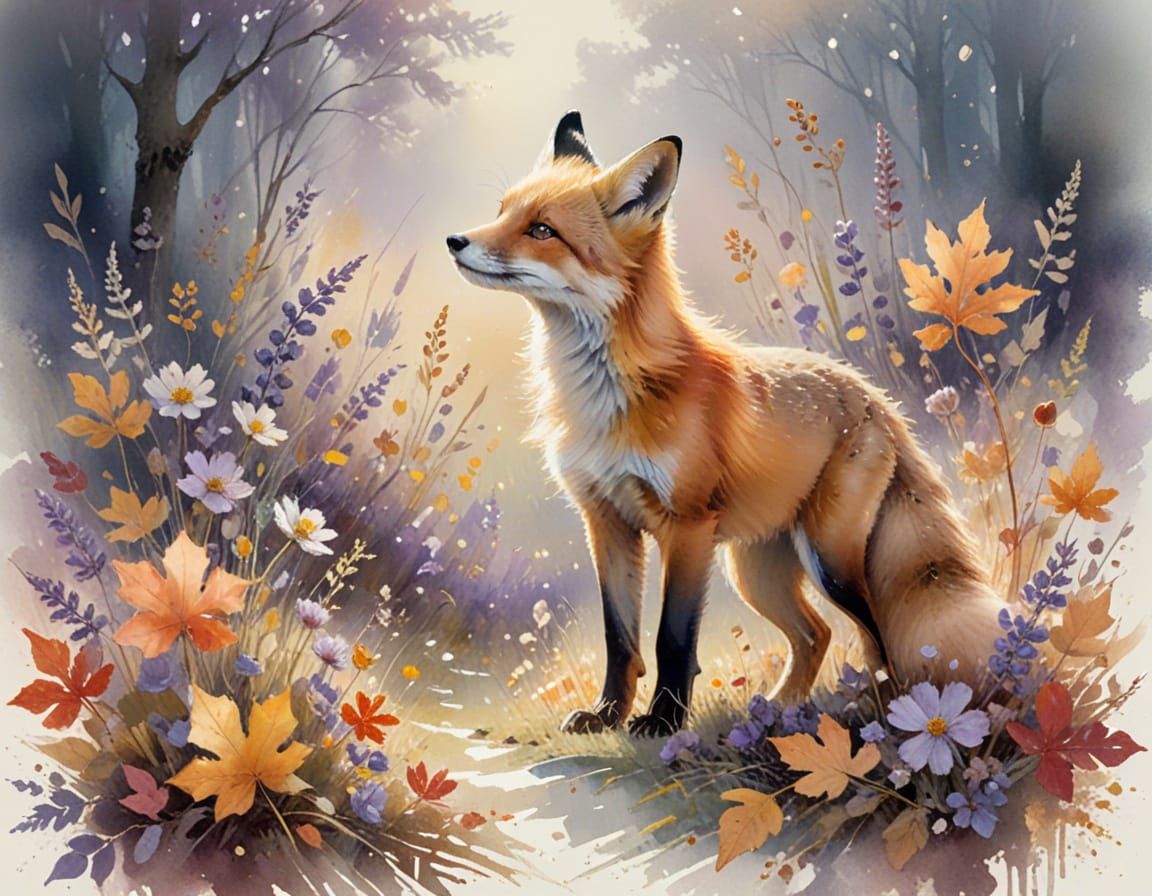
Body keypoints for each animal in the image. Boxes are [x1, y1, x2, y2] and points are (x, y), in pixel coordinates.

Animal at [447, 111, 1003, 737]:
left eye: (542, 230)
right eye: (502, 210)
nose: (455, 241)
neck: (608, 399)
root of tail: (873, 395)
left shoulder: (688, 526)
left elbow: (671, 639)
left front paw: (663, 722)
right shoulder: (606, 521)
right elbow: (620, 638)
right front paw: (608, 715)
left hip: (828, 558)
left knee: (874, 633)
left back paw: (876, 715)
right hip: (755, 571)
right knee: (816, 635)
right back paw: (781, 711)